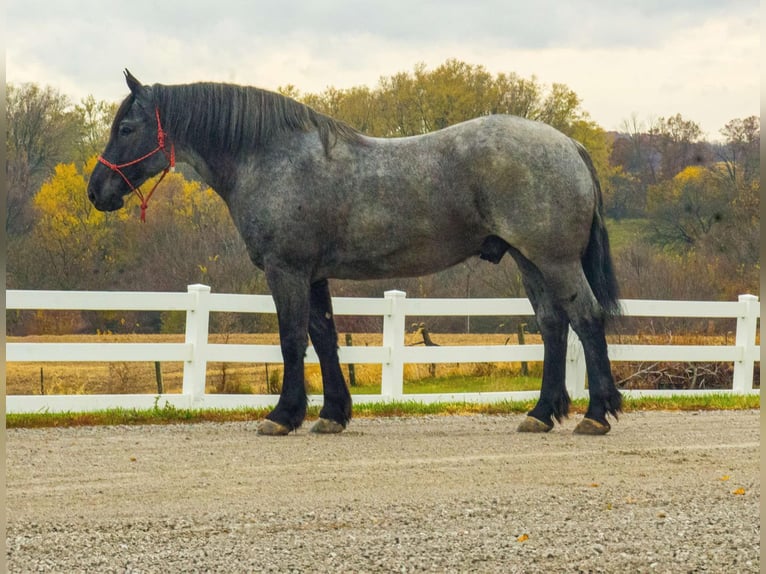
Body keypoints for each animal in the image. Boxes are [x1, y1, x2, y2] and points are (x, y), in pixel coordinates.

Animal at [88, 70, 622, 436]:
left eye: (127, 127)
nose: (97, 191)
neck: (272, 156)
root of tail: (569, 144)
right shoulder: (314, 275)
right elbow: (325, 337)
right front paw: (332, 413)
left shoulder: (287, 271)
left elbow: (291, 340)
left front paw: (283, 415)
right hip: (528, 259)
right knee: (553, 325)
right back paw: (541, 413)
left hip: (554, 260)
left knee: (586, 318)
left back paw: (597, 414)